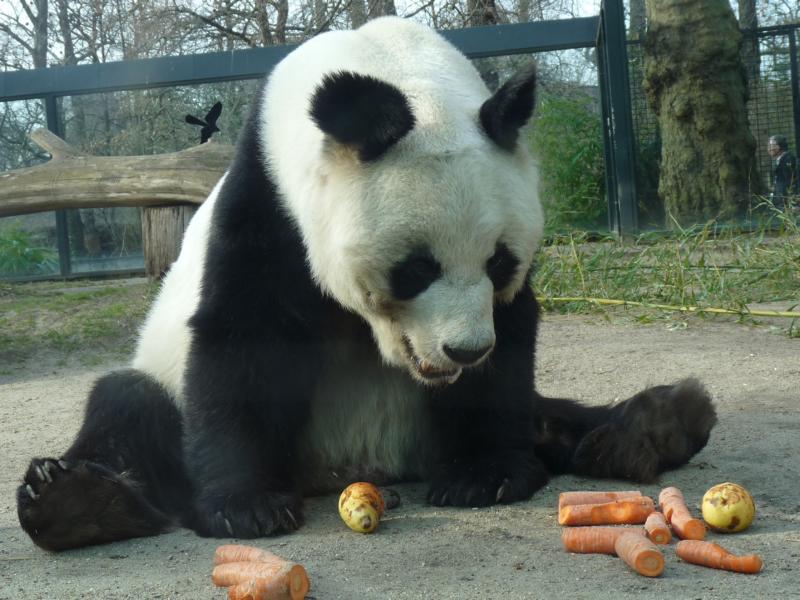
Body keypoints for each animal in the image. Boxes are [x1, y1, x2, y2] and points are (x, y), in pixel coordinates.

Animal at [17, 16, 716, 551]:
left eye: (499, 263)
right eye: (416, 269)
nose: (464, 351)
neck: (390, 67)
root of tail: (362, 466)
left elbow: (514, 335)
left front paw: (482, 475)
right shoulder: (269, 201)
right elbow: (242, 337)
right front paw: (246, 508)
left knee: (553, 416)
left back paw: (656, 425)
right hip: (164, 401)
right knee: (128, 404)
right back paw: (76, 502)